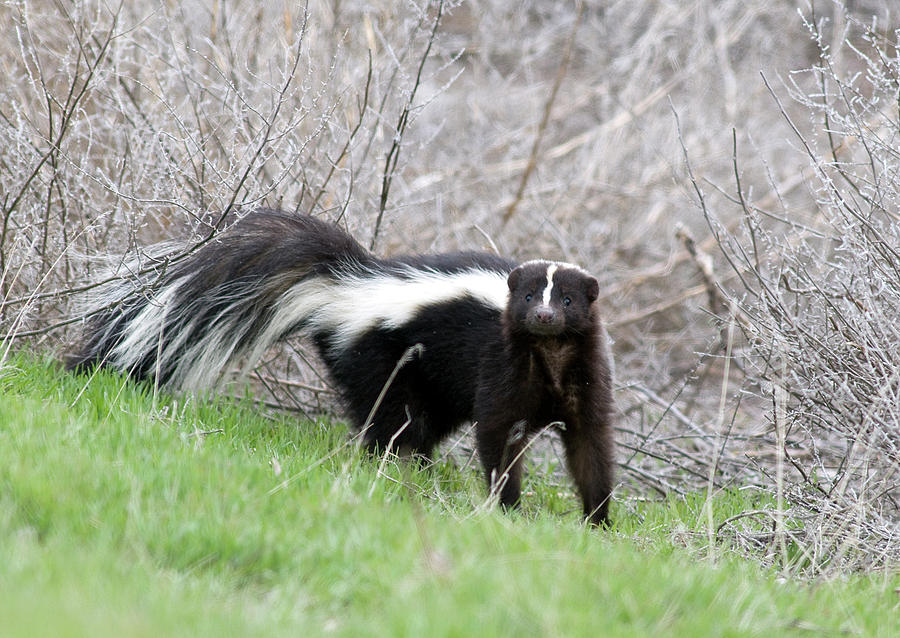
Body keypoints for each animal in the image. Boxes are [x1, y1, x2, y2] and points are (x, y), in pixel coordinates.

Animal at [70, 212, 616, 528]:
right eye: (529, 297)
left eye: (566, 301)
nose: (543, 316)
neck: (549, 358)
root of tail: (345, 285)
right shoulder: (502, 367)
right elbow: (499, 434)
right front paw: (507, 508)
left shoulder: (585, 381)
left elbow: (589, 445)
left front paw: (598, 521)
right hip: (380, 356)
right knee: (394, 421)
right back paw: (398, 468)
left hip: (428, 381)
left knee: (420, 423)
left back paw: (418, 470)